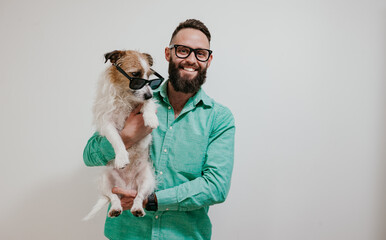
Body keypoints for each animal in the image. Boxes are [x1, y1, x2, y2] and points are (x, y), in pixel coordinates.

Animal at [83, 49, 162, 220]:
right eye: (136, 75)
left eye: (149, 77)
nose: (150, 95)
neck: (125, 96)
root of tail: (127, 187)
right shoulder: (106, 121)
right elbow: (116, 138)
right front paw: (121, 157)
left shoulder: (143, 102)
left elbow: (147, 105)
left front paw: (151, 118)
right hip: (106, 180)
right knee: (113, 197)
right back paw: (115, 209)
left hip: (147, 179)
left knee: (139, 196)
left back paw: (137, 209)